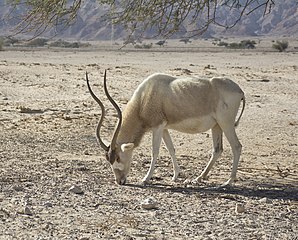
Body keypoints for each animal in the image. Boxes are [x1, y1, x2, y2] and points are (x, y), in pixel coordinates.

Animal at [86, 69, 244, 186]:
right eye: (109, 159)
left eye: (118, 157)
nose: (120, 181)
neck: (144, 98)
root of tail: (239, 90)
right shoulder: (164, 128)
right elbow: (171, 149)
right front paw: (175, 176)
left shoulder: (157, 127)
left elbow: (155, 151)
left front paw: (146, 179)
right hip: (216, 125)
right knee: (217, 150)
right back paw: (199, 178)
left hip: (226, 123)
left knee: (237, 146)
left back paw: (228, 182)